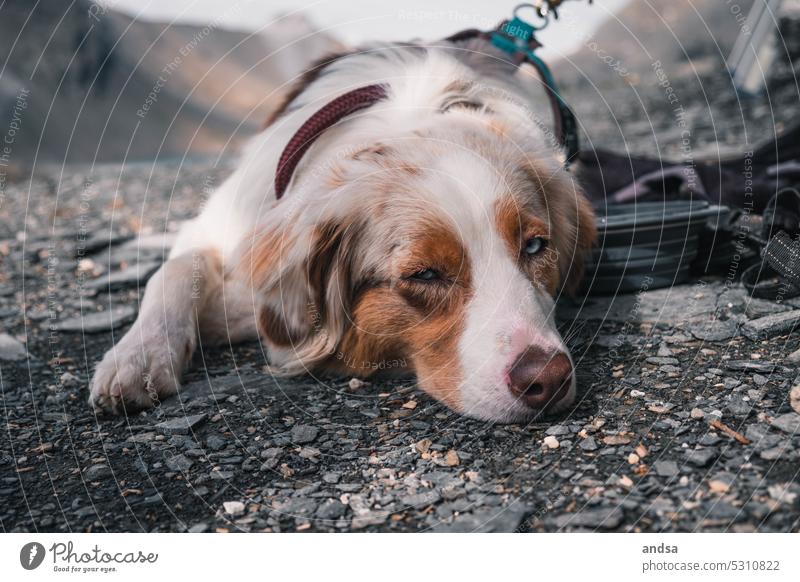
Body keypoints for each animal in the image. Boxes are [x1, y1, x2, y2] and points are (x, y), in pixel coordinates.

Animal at [89, 38, 592, 422]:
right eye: (425, 274)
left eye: (535, 245)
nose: (547, 377)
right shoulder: (221, 223)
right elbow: (176, 270)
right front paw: (138, 357)